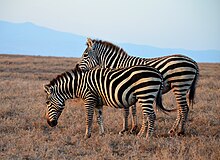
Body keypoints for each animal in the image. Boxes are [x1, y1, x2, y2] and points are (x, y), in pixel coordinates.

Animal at [43, 64, 171, 138]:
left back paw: (148, 137)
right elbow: (99, 118)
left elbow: (89, 118)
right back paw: (140, 135)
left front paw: (87, 135)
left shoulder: (89, 99)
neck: (79, 85)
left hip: (145, 94)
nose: (50, 123)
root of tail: (158, 72)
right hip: (147, 96)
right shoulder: (97, 102)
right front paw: (102, 134)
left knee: (151, 116)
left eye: (47, 103)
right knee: (147, 115)